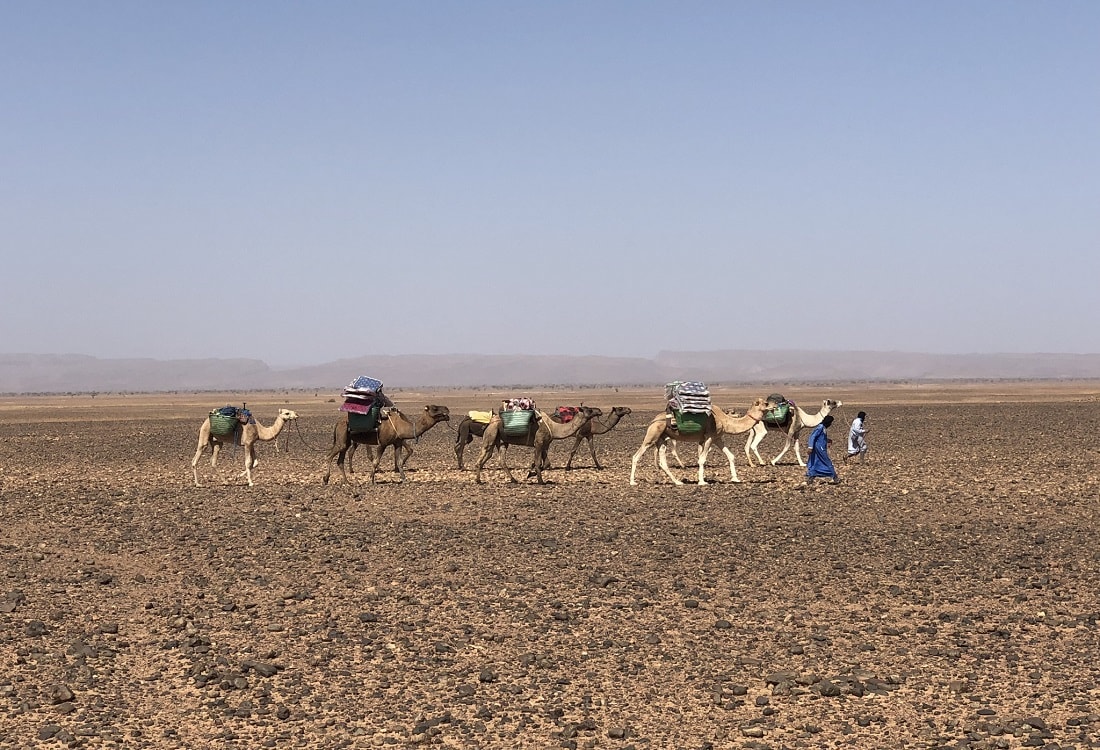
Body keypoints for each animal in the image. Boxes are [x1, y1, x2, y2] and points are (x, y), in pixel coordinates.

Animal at [321, 402, 451, 483]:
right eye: (435, 408)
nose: (447, 409)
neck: (402, 426)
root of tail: (338, 422)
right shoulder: (382, 443)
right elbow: (376, 461)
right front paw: (371, 479)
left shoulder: (397, 443)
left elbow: (399, 462)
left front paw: (405, 479)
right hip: (342, 436)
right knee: (329, 455)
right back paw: (326, 479)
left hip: (346, 440)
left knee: (340, 460)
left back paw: (347, 482)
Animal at [629, 398, 774, 483]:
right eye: (766, 403)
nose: (774, 405)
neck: (724, 420)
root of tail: (653, 420)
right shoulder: (710, 437)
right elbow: (702, 459)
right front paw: (702, 481)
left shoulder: (717, 437)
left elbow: (731, 456)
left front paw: (736, 479)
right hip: (652, 435)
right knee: (636, 456)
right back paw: (632, 482)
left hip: (662, 439)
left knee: (663, 461)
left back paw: (678, 482)